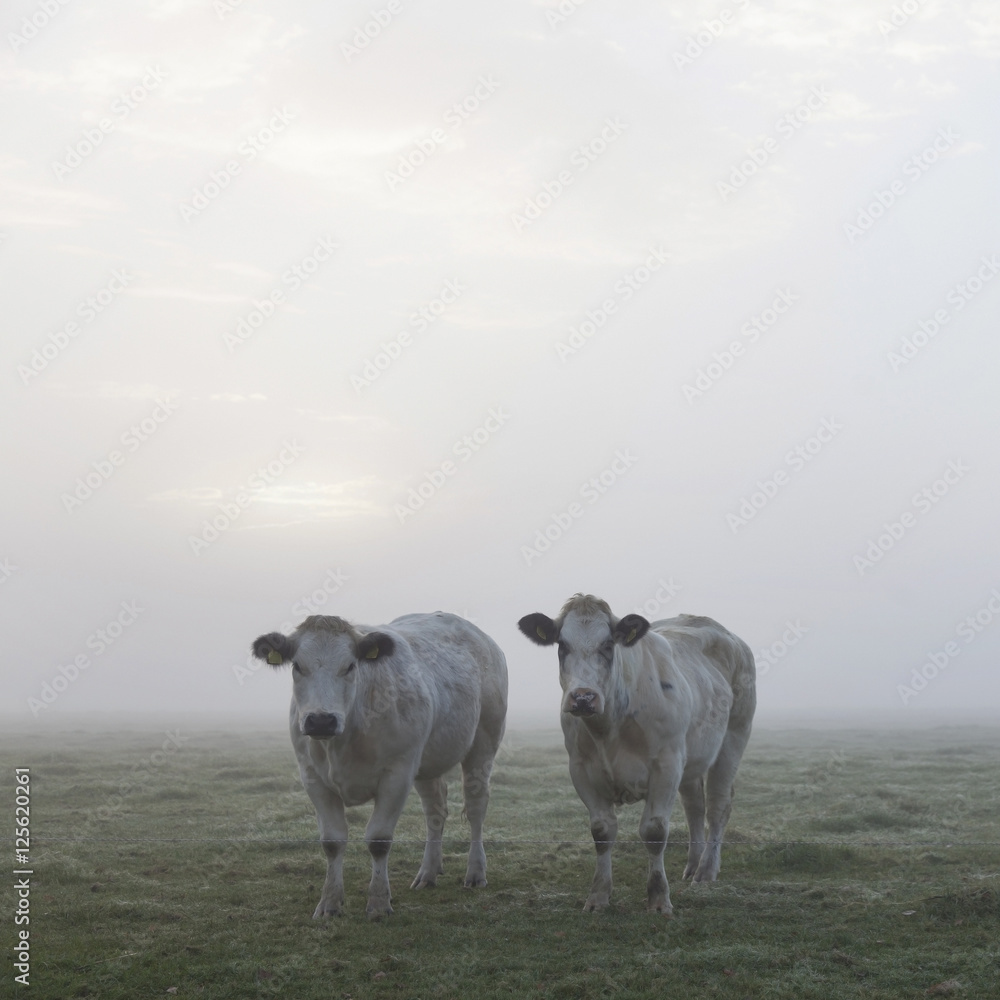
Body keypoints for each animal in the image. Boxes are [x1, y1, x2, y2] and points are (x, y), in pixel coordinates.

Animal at [251, 612, 508, 919]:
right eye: (298, 666)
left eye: (350, 665)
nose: (321, 720)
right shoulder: (312, 777)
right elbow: (332, 841)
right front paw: (329, 903)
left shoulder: (397, 774)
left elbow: (379, 840)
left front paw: (378, 903)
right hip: (427, 761)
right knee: (435, 810)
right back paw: (428, 873)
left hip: (483, 743)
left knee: (476, 807)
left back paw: (476, 872)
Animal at [517, 594, 755, 916]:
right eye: (562, 645)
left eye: (608, 645)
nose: (583, 697)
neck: (609, 727)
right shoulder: (580, 769)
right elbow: (602, 831)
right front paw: (598, 896)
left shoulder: (667, 765)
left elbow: (654, 832)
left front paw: (658, 899)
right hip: (691, 759)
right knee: (694, 806)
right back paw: (692, 866)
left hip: (733, 737)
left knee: (718, 806)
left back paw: (706, 871)